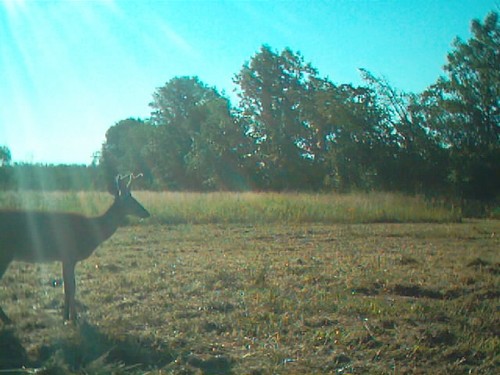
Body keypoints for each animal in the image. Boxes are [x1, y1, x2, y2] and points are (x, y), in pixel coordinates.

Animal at [0, 175, 149, 324]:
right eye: (131, 200)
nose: (147, 213)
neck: (91, 230)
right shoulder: (69, 256)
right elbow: (70, 287)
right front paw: (73, 317)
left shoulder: (67, 259)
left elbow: (69, 286)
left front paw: (67, 316)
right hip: (5, 253)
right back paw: (8, 320)